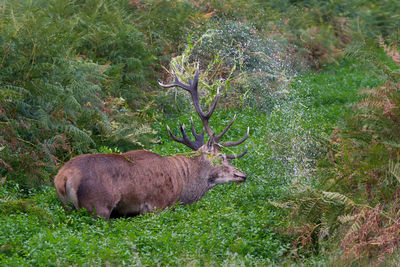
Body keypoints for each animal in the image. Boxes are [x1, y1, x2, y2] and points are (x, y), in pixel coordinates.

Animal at [52, 70, 247, 220]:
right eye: (221, 157)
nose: (242, 175)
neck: (183, 187)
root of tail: (63, 178)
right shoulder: (157, 205)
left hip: (68, 208)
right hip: (98, 207)